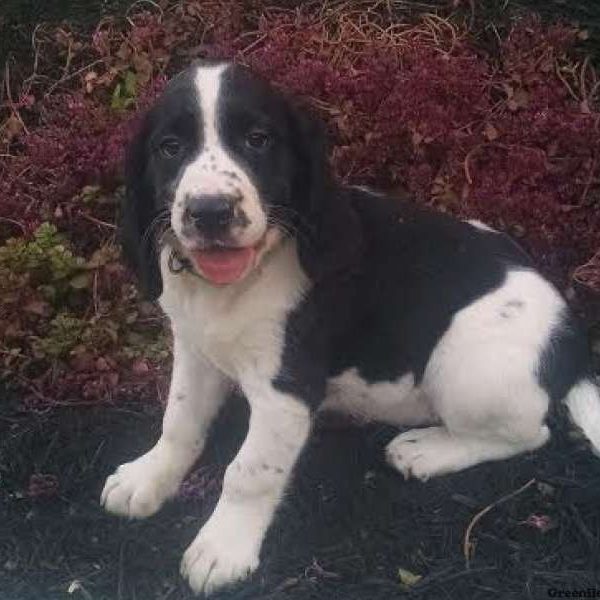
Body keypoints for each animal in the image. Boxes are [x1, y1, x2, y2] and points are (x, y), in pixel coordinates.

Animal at [103, 61, 600, 596]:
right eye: (170, 147)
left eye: (258, 140)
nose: (210, 212)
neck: (242, 279)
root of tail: (575, 342)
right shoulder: (195, 349)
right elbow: (180, 420)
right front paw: (148, 477)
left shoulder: (286, 392)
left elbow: (248, 471)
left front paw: (222, 548)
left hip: (468, 364)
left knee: (532, 434)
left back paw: (426, 450)